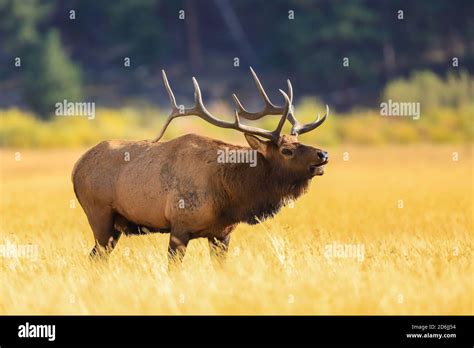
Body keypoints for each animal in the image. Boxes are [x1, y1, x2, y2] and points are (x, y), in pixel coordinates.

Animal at [71, 68, 330, 266]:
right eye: (286, 150)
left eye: (297, 141)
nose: (323, 154)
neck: (231, 198)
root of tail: (76, 167)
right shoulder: (179, 226)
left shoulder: (223, 234)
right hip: (99, 215)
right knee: (94, 258)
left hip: (116, 226)